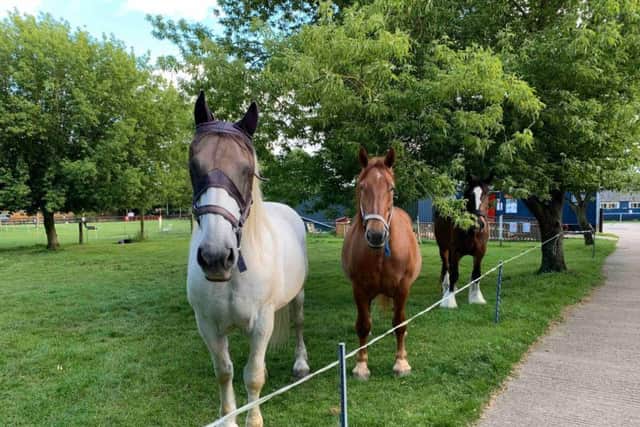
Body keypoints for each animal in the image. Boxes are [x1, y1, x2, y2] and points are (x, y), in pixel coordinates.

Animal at [187, 91, 310, 427]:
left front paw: (253, 419)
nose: (216, 257)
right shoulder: (207, 325)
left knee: (297, 324)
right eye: (194, 165)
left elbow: (252, 376)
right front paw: (229, 419)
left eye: (246, 168)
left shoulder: (262, 321)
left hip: (297, 298)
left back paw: (301, 364)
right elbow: (225, 372)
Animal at [341, 147, 422, 380]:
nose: (376, 235)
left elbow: (399, 323)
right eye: (362, 187)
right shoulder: (359, 289)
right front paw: (361, 365)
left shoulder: (403, 288)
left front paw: (401, 362)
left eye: (391, 188)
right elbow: (362, 325)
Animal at [434, 174, 492, 309]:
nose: (478, 223)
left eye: (486, 194)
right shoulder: (455, 251)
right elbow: (454, 274)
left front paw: (476, 298)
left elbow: (476, 274)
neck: (471, 231)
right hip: (443, 249)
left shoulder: (480, 253)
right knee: (447, 267)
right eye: (470, 194)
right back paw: (446, 288)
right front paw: (450, 301)